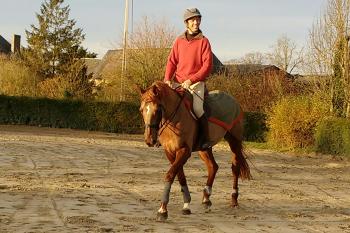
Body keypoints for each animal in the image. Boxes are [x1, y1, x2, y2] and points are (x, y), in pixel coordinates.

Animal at [138, 81, 250, 220]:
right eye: (141, 110)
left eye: (158, 109)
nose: (149, 140)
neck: (174, 119)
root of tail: (234, 101)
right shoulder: (170, 152)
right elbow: (180, 176)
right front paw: (186, 204)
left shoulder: (184, 151)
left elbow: (170, 174)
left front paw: (162, 210)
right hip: (204, 149)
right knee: (213, 166)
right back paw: (206, 198)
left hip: (234, 141)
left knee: (235, 168)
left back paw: (234, 200)